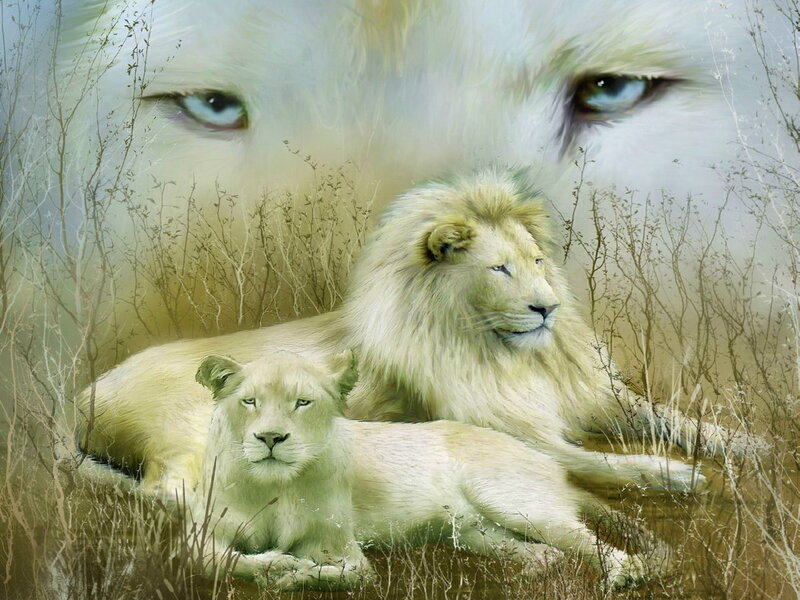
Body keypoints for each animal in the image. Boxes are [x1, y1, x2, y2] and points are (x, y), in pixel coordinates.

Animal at [191, 349, 663, 591]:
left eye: (302, 403)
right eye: (250, 401)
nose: (270, 438)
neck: (273, 485)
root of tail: (545, 460)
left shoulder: (343, 549)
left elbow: (348, 575)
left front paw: (291, 572)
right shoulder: (200, 537)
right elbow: (215, 561)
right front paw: (274, 566)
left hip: (519, 506)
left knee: (597, 546)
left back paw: (625, 577)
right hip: (476, 532)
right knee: (546, 554)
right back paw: (523, 574)